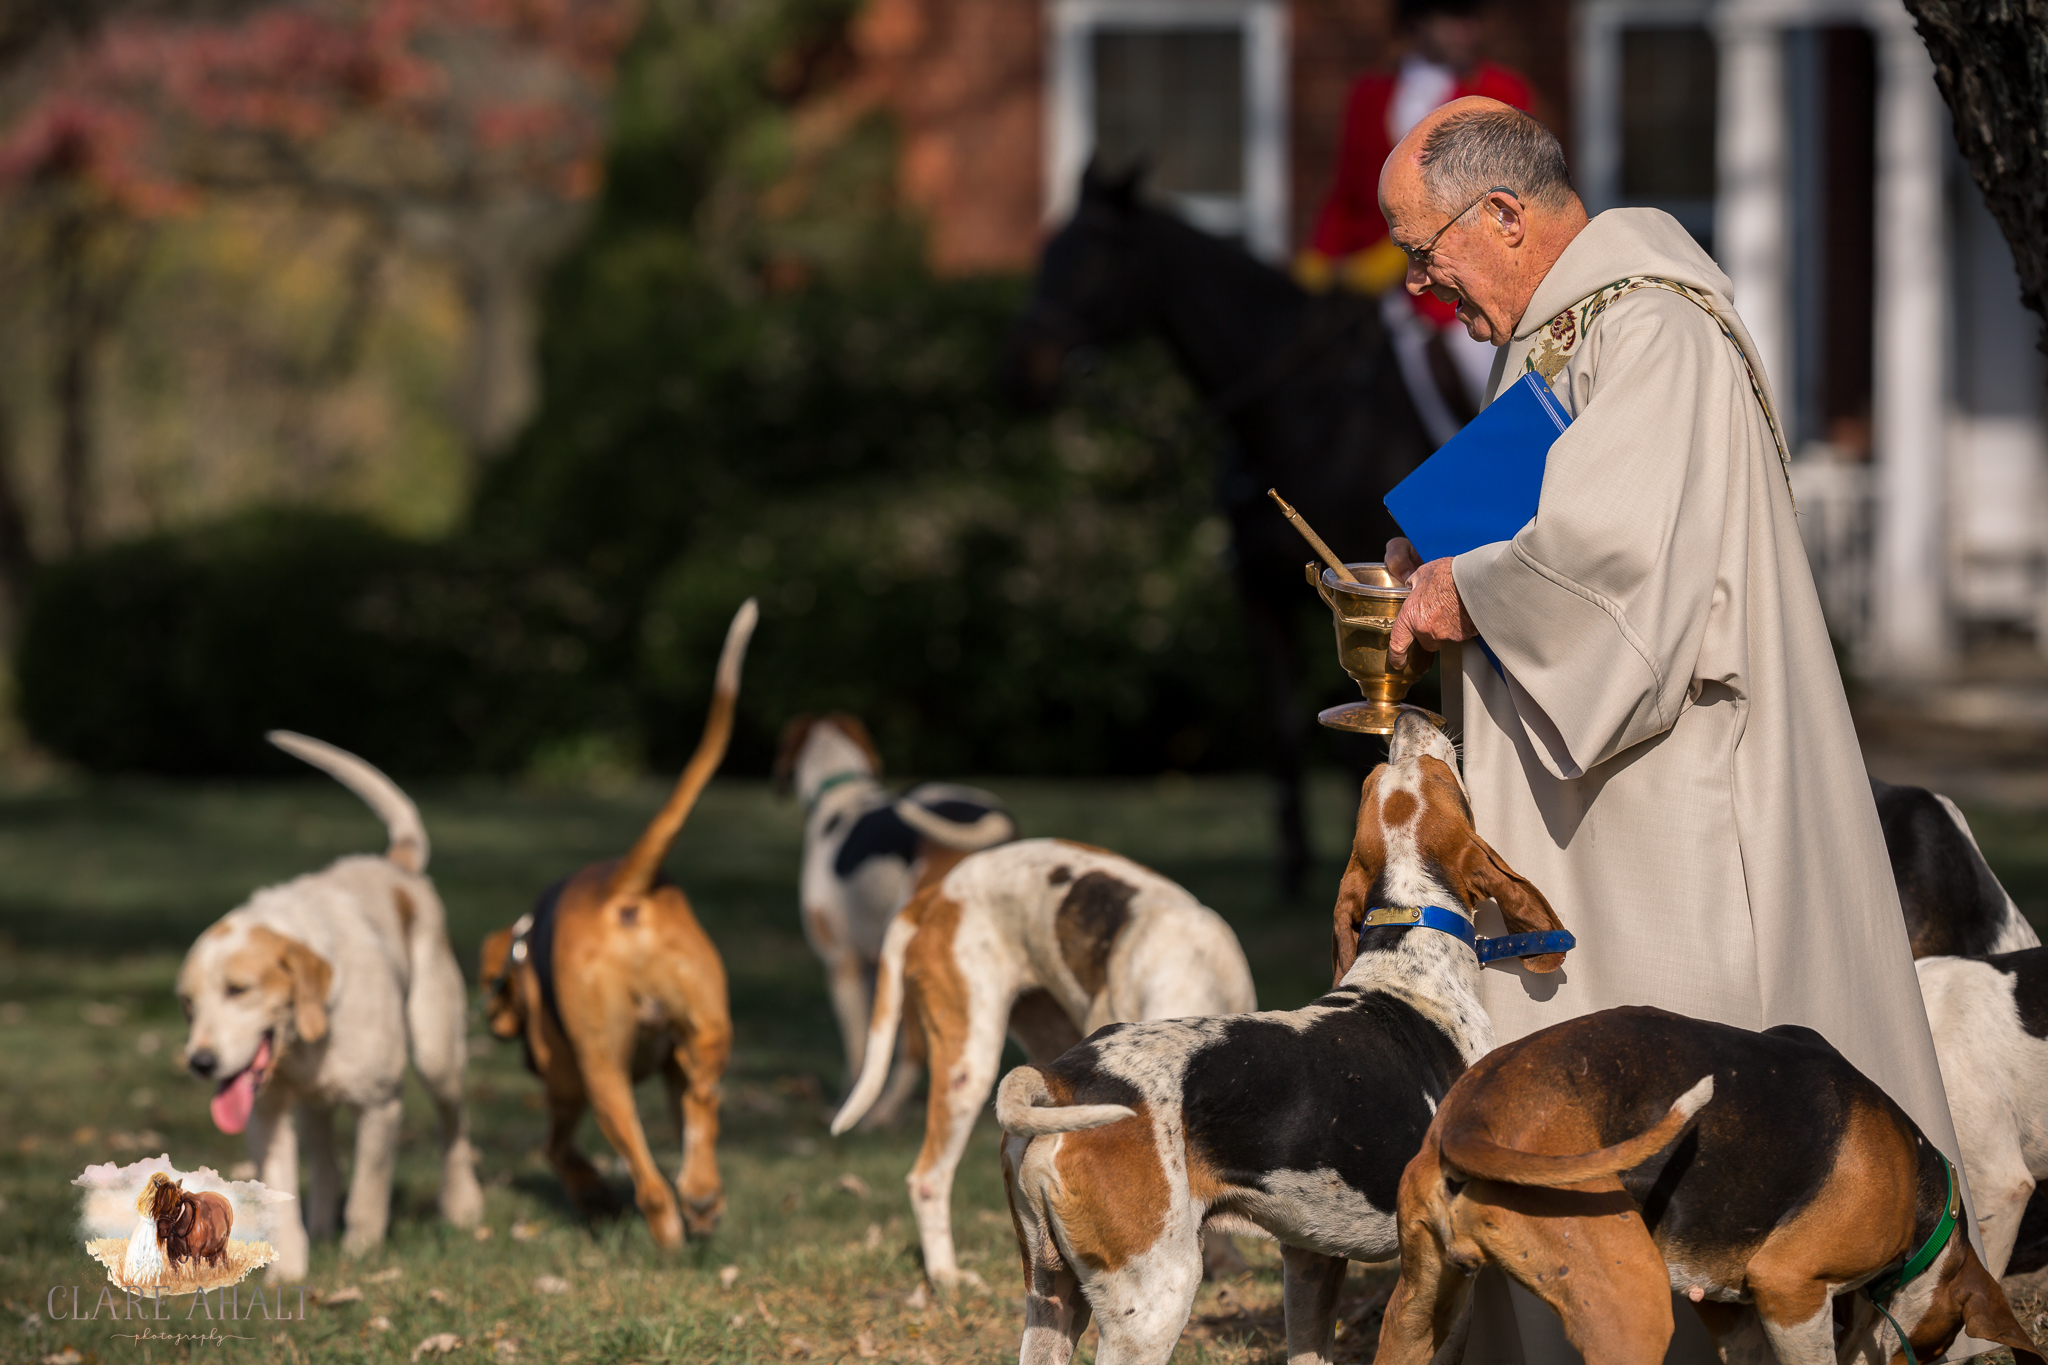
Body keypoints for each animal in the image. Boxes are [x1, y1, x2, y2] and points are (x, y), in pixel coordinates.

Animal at [999, 167, 1433, 896]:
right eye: (1047, 249)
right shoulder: (1260, 591)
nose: (1022, 373)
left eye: (1093, 257)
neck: (1300, 411)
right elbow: (1285, 726)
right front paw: (1293, 866)